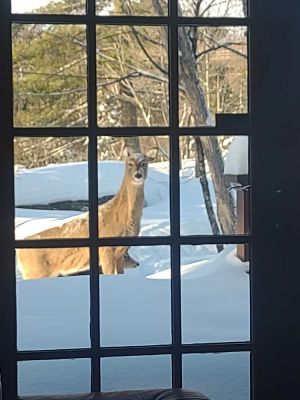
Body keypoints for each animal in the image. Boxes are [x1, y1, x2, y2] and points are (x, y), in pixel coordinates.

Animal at [17, 151, 148, 282]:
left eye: (144, 163)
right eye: (130, 163)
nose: (138, 174)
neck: (122, 216)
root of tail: (18, 253)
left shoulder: (120, 252)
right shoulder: (106, 250)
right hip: (34, 272)